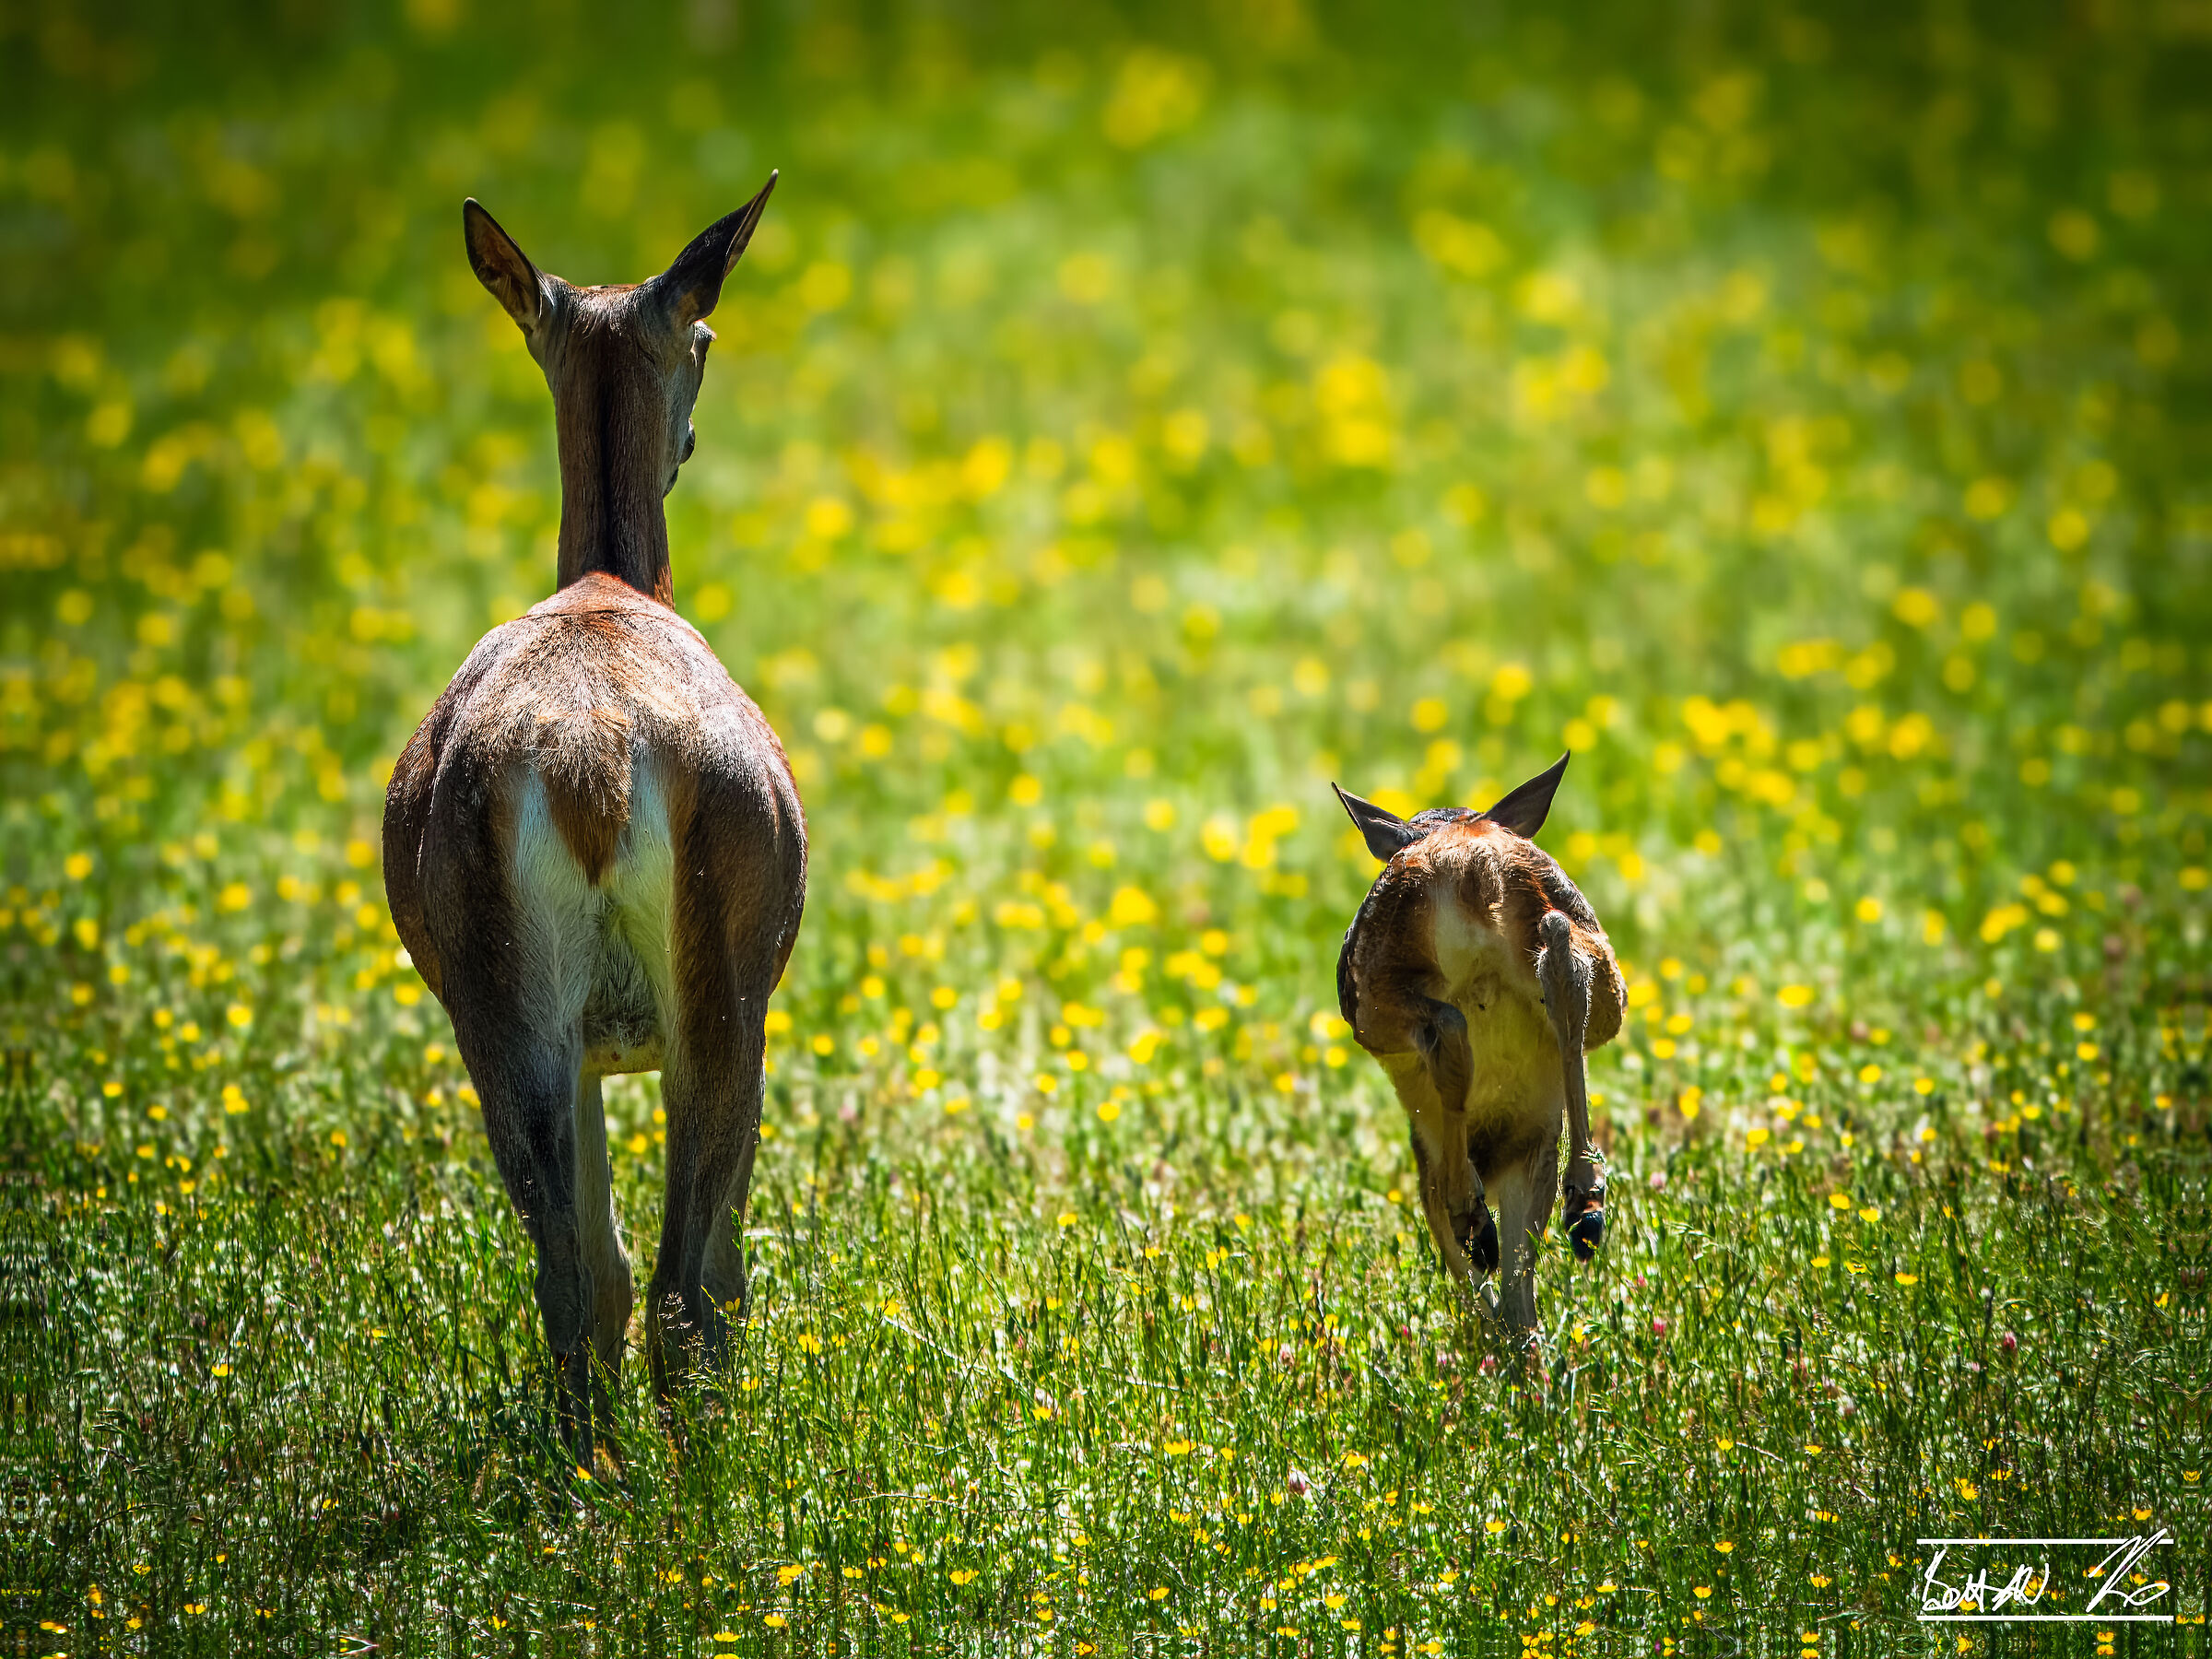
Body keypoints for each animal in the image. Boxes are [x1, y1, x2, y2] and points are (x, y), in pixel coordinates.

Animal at [382, 175, 807, 1456]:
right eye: (705, 340)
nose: (687, 442)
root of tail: (592, 762)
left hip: (496, 996)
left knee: (578, 1275)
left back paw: (590, 1471)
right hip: (725, 970)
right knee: (686, 1284)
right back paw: (701, 1475)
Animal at [1332, 753, 1623, 1345]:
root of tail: (1469, 856)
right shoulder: (1530, 1152)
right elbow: (1518, 1287)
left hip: (1378, 998)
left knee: (1447, 1024)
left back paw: (1477, 1219)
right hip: (1590, 947)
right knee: (1564, 962)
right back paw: (1585, 1208)